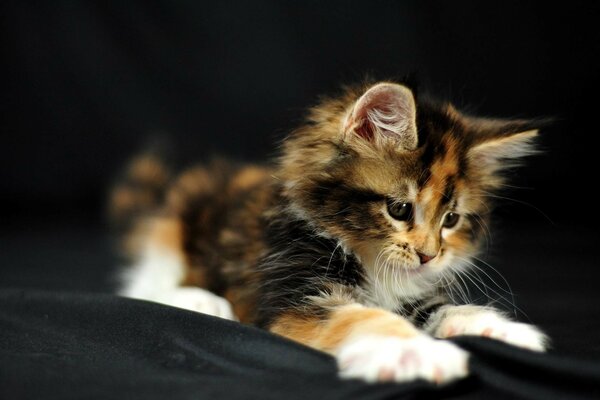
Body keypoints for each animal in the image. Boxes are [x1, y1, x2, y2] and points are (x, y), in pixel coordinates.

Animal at [111, 81, 548, 384]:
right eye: (400, 209)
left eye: (451, 219)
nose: (428, 256)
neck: (368, 259)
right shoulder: (299, 299)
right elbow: (365, 319)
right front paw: (415, 354)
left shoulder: (414, 295)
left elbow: (446, 310)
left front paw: (505, 331)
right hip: (174, 226)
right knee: (140, 284)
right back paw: (202, 301)